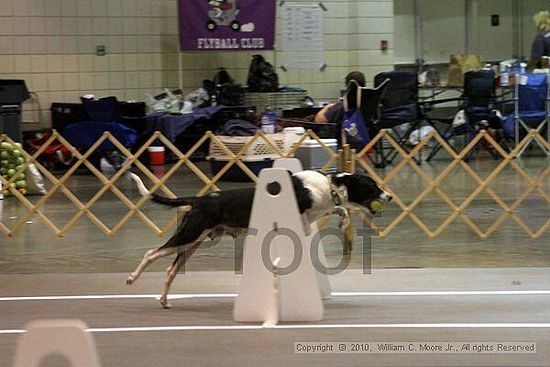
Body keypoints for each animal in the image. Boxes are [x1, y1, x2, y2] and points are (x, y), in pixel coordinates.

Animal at [127, 171, 392, 310]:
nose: (389, 196)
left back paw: (163, 300)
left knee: (170, 270)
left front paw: (344, 222)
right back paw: (132, 278)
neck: (325, 187)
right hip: (189, 235)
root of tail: (199, 199)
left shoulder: (319, 212)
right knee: (151, 253)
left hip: (192, 244)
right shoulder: (301, 220)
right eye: (372, 186)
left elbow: (341, 209)